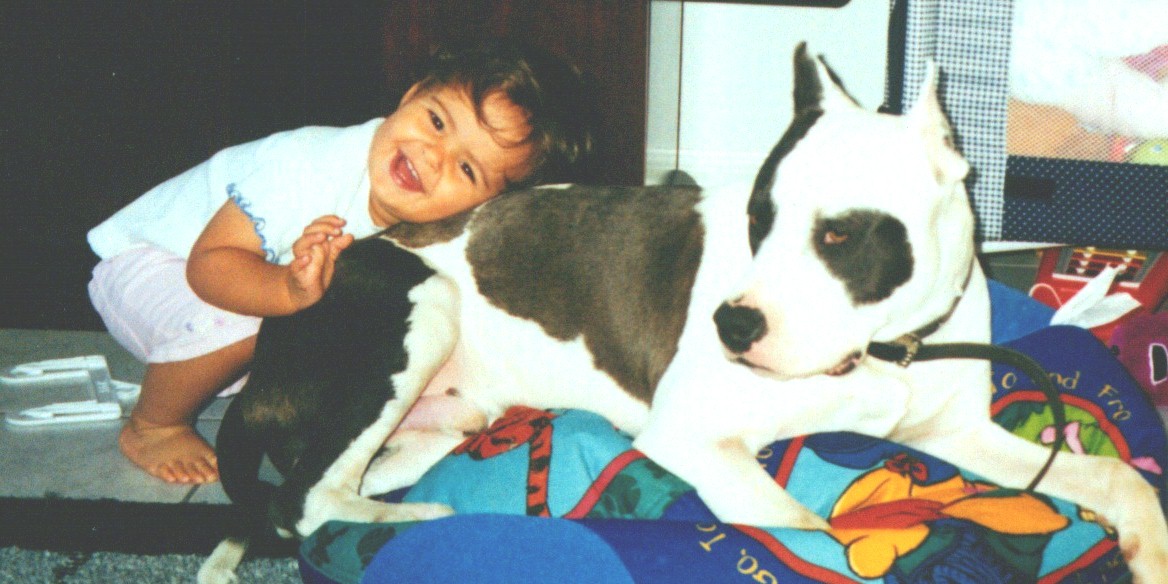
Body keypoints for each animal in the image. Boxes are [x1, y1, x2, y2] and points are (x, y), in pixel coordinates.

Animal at [199, 44, 1168, 583]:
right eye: (759, 218)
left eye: (839, 234)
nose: (731, 329)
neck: (881, 350)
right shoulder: (689, 437)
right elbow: (802, 527)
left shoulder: (959, 434)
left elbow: (1120, 477)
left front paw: (1146, 549)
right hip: (421, 307)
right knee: (306, 504)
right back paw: (435, 526)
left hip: (445, 419)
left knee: (323, 489)